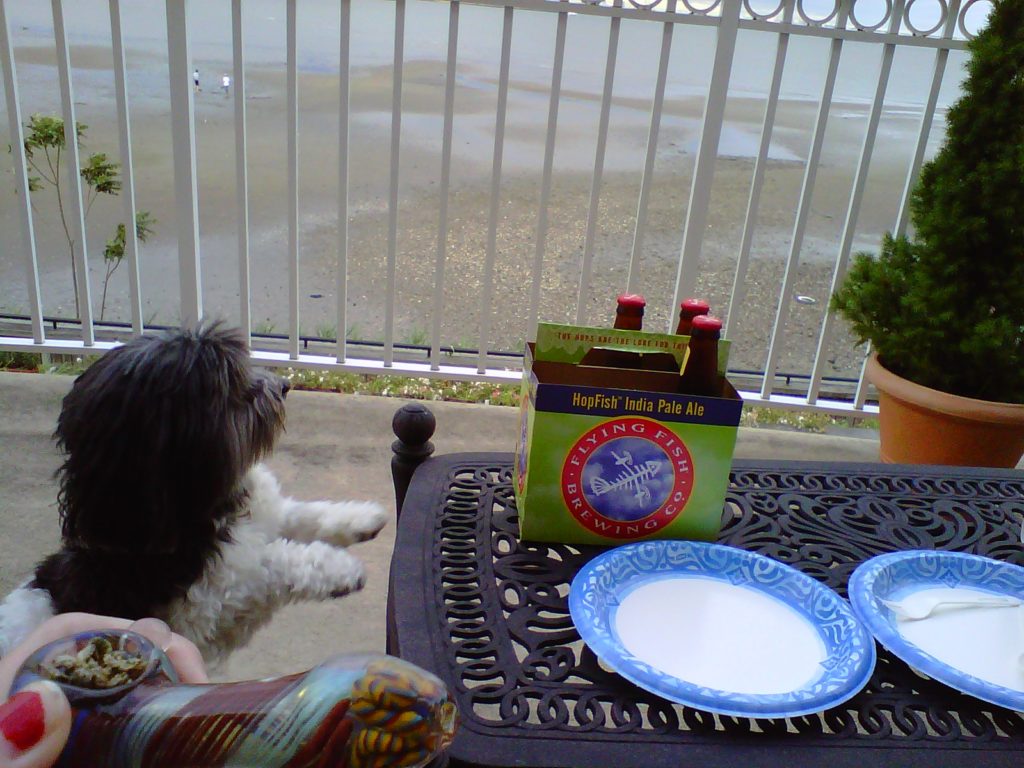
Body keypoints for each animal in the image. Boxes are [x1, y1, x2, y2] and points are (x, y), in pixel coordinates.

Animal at [0, 321, 387, 663]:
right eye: (228, 385)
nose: (283, 385)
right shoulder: (208, 605)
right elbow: (271, 562)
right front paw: (342, 570)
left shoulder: (263, 518)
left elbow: (303, 514)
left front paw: (362, 518)